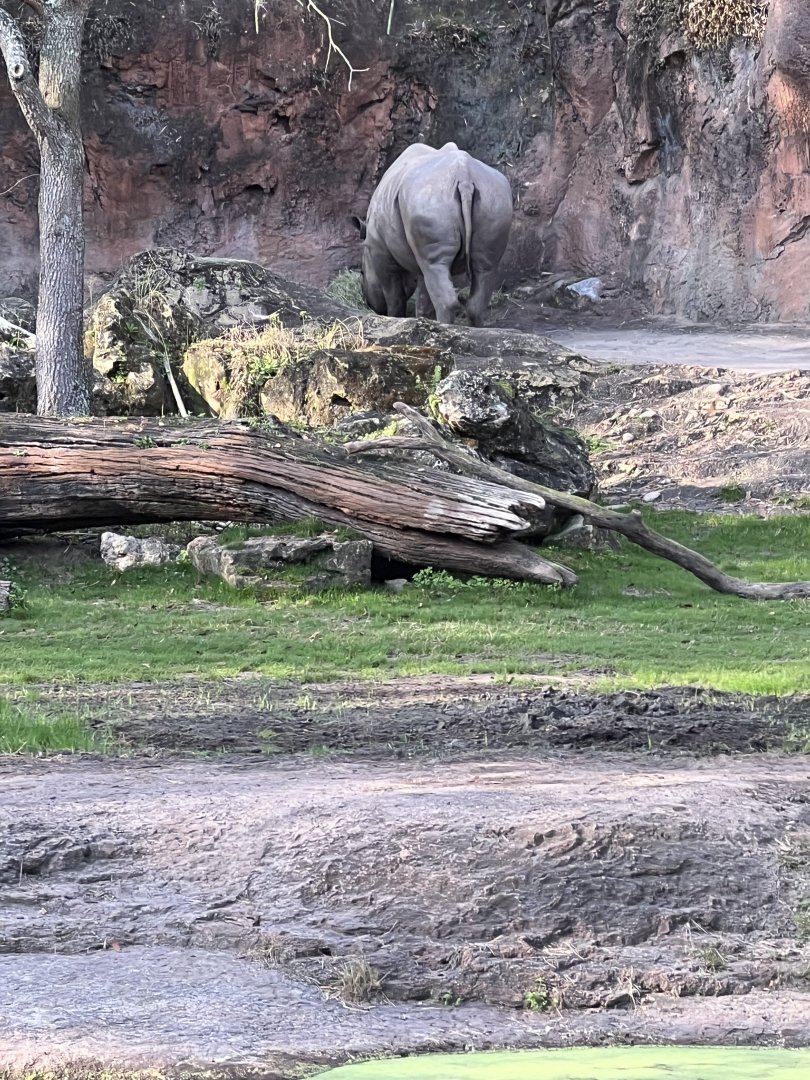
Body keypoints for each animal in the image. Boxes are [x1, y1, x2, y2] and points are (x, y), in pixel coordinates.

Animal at [354, 142, 513, 327]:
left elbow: (394, 296)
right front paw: (423, 320)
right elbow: (424, 297)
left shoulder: (380, 252)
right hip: (493, 197)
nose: (371, 305)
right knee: (484, 269)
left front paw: (394, 318)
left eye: (361, 273)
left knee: (438, 267)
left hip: (429, 199)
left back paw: (446, 328)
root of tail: (465, 177)